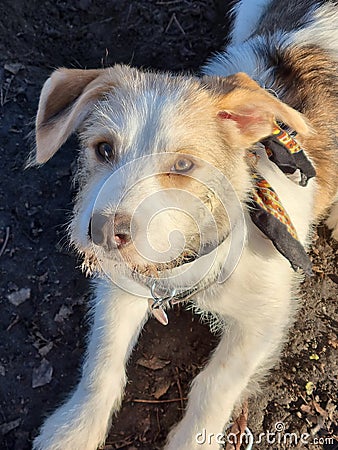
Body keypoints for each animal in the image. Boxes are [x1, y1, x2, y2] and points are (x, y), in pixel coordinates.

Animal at [31, 0, 338, 450]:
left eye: (183, 165)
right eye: (103, 149)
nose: (103, 233)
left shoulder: (266, 318)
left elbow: (215, 384)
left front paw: (192, 438)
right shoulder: (125, 281)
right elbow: (102, 360)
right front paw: (74, 429)